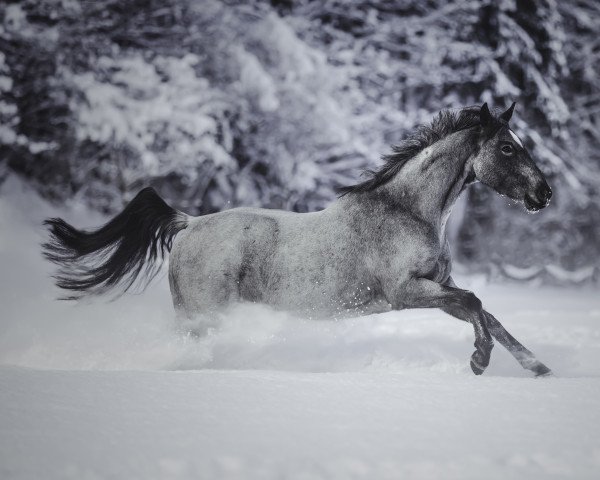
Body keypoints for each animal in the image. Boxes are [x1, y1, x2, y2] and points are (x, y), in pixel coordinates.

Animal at [44, 103, 552, 376]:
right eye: (508, 147)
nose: (543, 194)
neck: (407, 211)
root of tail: (187, 224)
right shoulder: (405, 292)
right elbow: (474, 303)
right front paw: (480, 361)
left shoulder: (436, 287)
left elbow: (487, 313)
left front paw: (538, 367)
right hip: (200, 316)